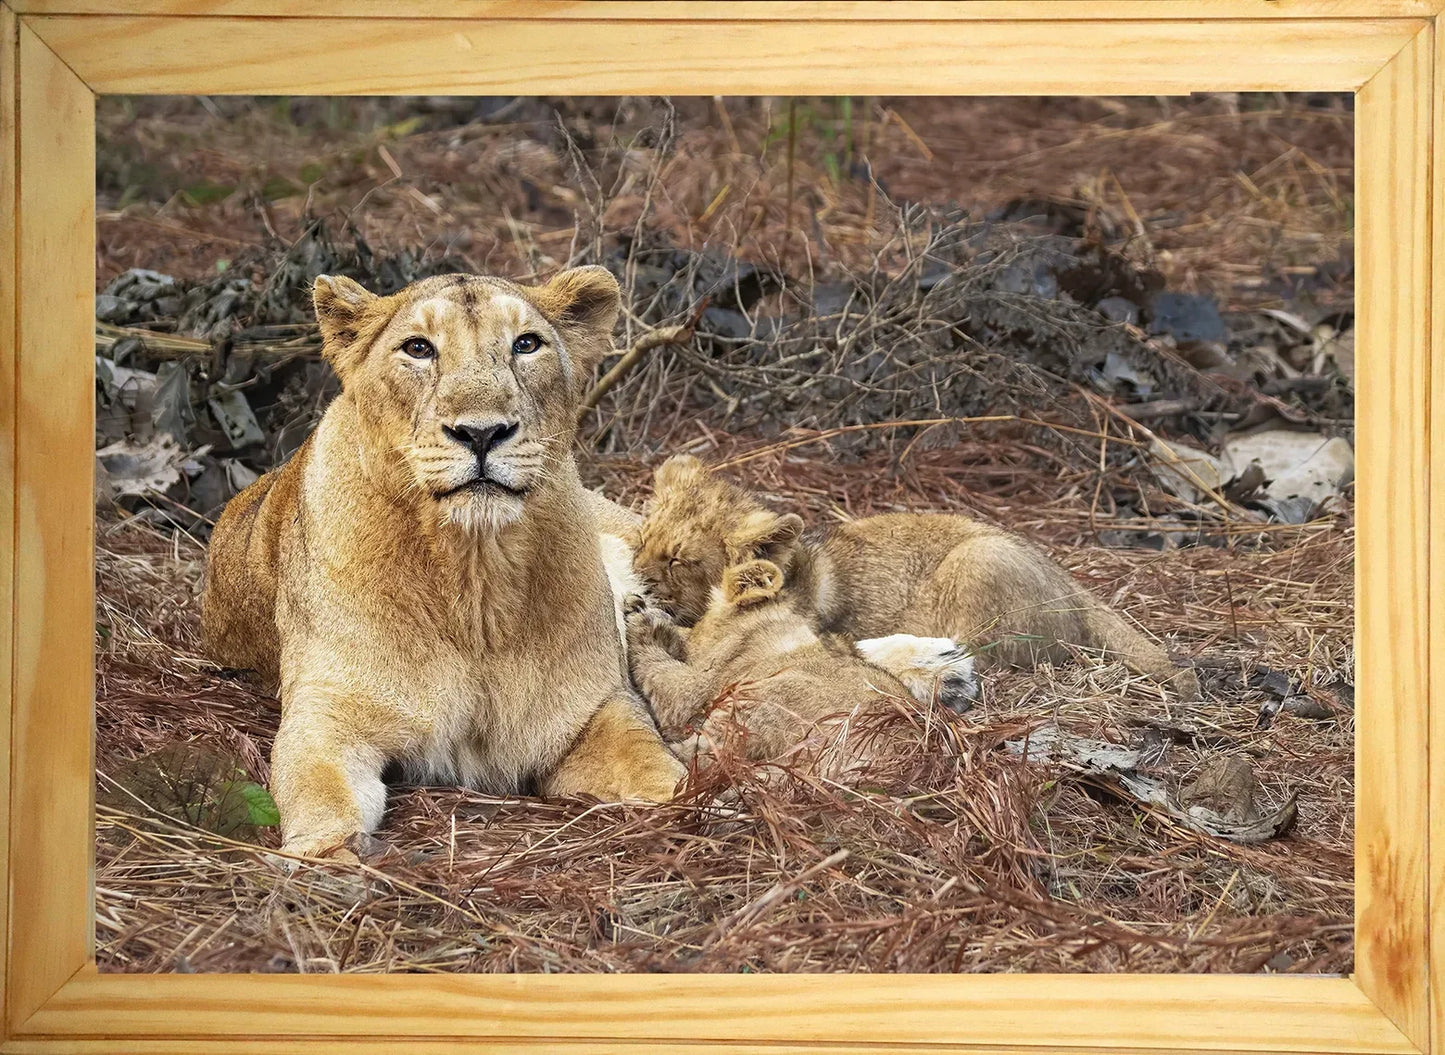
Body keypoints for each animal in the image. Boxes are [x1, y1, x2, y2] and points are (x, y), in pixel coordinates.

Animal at [201, 267, 685, 863]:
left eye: (527, 344)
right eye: (418, 348)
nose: (481, 433)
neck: (474, 581)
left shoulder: (594, 706)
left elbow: (657, 767)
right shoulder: (328, 711)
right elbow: (319, 789)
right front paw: (332, 856)